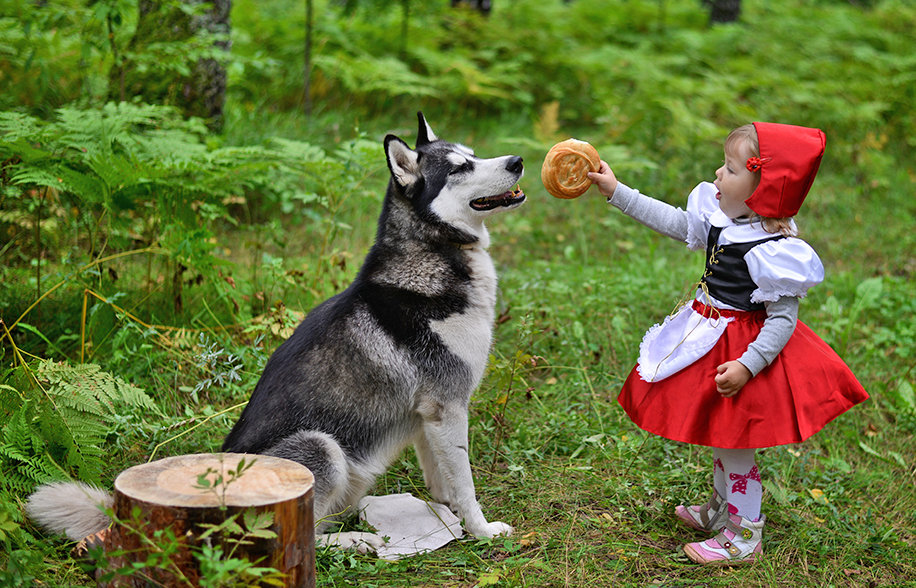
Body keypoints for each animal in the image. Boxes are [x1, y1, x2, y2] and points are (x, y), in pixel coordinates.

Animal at [26, 112, 524, 552]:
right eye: (459, 168)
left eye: (474, 155)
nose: (518, 160)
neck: (433, 255)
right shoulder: (447, 405)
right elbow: (466, 484)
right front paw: (482, 531)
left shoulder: (428, 415)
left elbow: (444, 481)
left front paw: (451, 517)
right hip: (321, 447)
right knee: (302, 536)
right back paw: (356, 540)